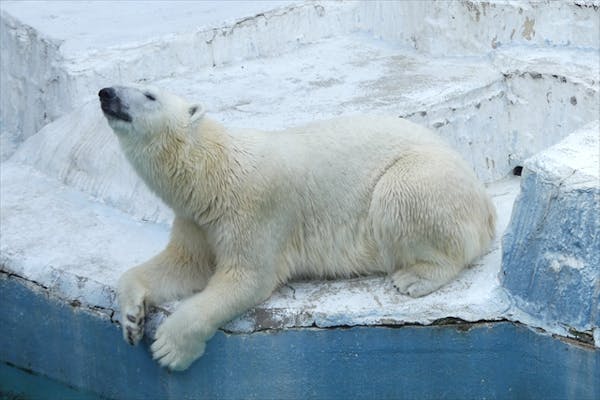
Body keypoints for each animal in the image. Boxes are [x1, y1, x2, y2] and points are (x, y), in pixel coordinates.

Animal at [99, 85, 496, 372]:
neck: (214, 172)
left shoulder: (254, 209)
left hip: (424, 176)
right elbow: (183, 264)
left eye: (149, 94)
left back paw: (415, 278)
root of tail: (487, 204)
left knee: (401, 195)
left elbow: (246, 277)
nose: (106, 93)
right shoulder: (197, 220)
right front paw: (132, 318)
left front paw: (168, 347)